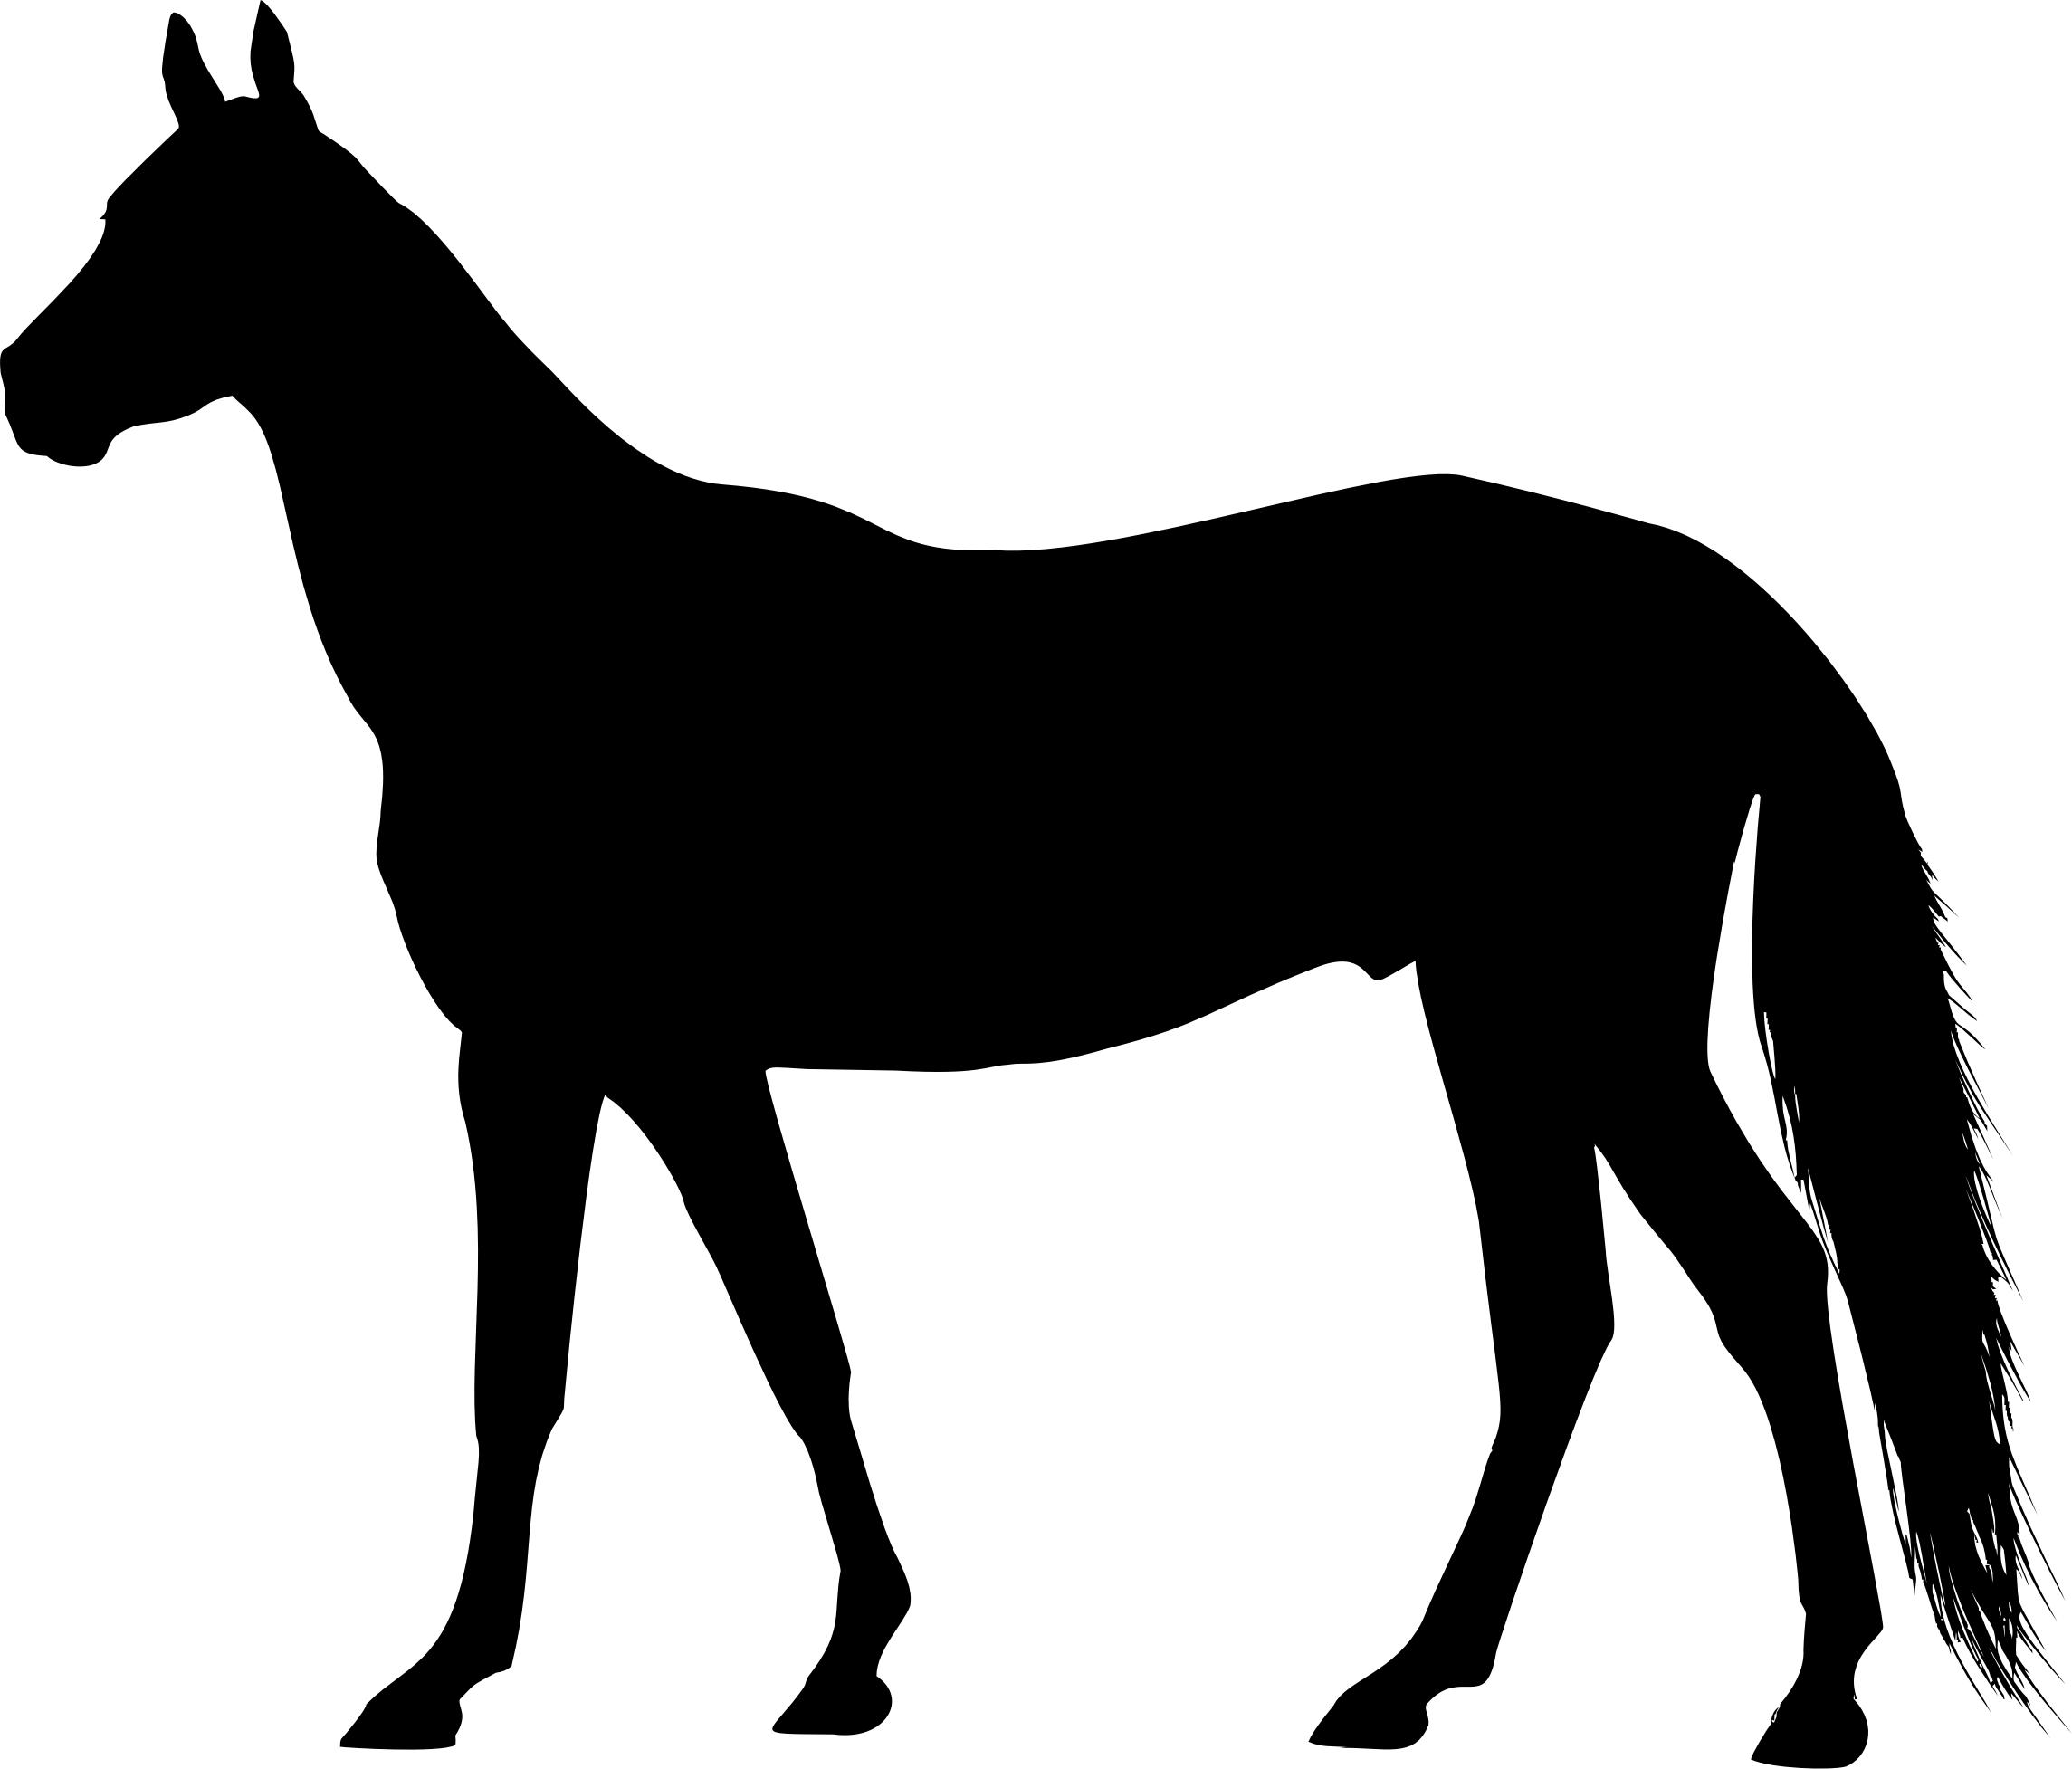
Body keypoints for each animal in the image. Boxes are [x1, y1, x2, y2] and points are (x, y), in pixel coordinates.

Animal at [2, 10, 2047, 1764]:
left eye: (196, 232)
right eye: (118, 212)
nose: (31, 391)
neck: (546, 616)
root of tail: (1711, 600)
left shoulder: (559, 1050)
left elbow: (559, 1360)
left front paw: (453, 1676)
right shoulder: (660, 1061)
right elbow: (779, 1337)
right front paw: (840, 1649)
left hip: (1578, 1008)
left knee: (1757, 1279)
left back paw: (1807, 1696)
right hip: (1495, 1008)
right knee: (1562, 1318)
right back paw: (1411, 1675)